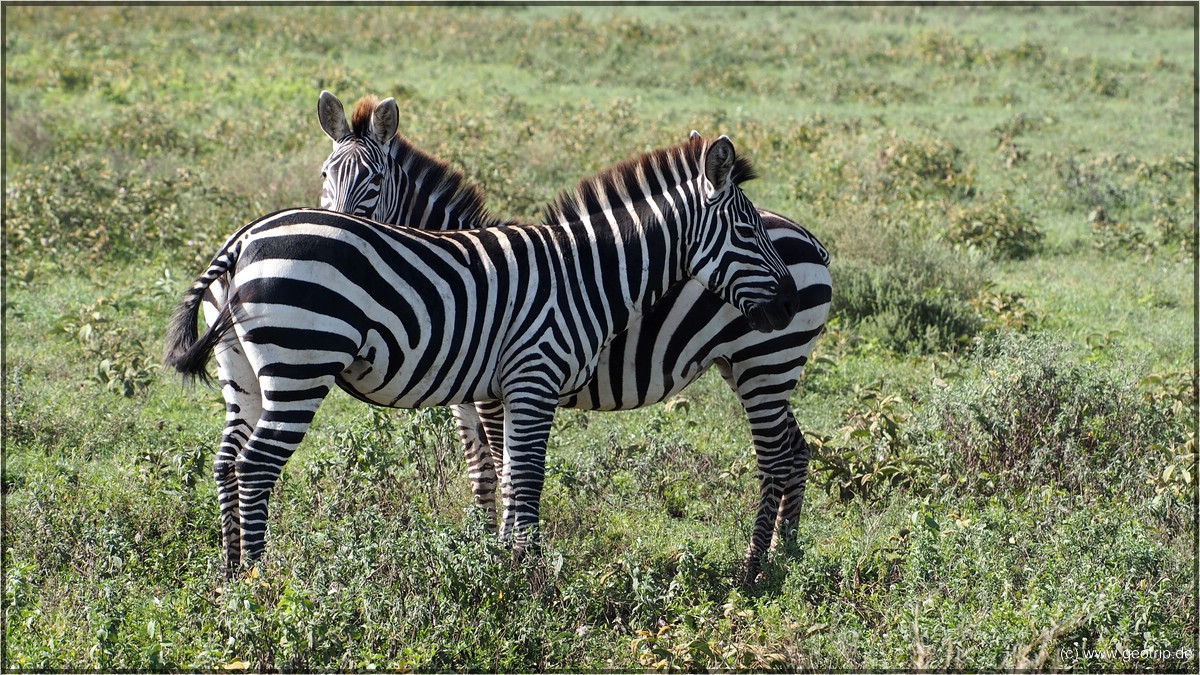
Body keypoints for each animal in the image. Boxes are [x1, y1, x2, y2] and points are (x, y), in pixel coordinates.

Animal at [159, 124, 796, 571]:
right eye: (746, 231)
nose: (789, 301)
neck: (585, 273)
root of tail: (244, 238)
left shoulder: (496, 389)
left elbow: (502, 472)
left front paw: (499, 561)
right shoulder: (532, 378)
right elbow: (522, 475)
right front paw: (525, 573)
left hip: (243, 372)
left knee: (228, 462)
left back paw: (229, 577)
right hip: (299, 365)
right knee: (254, 465)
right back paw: (259, 583)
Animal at [314, 91, 830, 581]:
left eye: (374, 181)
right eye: (324, 175)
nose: (338, 239)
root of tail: (812, 240)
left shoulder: (495, 392)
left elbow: (504, 468)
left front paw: (501, 554)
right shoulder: (467, 396)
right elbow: (481, 472)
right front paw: (479, 549)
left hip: (764, 364)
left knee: (775, 459)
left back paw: (754, 566)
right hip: (756, 370)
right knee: (797, 449)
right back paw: (786, 551)